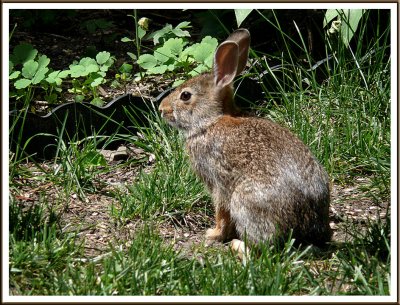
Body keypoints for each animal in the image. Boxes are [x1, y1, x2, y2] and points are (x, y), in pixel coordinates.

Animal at [158, 28, 332, 252]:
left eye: (185, 96)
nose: (161, 109)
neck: (210, 121)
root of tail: (306, 225)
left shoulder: (218, 184)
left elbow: (221, 211)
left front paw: (213, 234)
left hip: (244, 202)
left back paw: (237, 245)